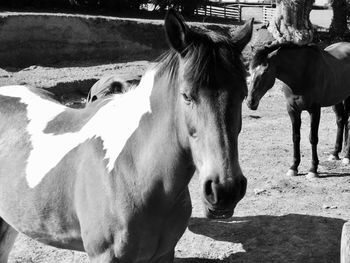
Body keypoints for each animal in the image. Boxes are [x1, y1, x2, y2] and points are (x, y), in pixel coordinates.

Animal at [0, 9, 253, 262]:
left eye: (243, 94)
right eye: (186, 95)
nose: (225, 190)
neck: (133, 171)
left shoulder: (164, 253)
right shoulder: (104, 255)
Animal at [246, 42, 350, 180]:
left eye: (265, 70)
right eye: (250, 70)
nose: (250, 102)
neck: (301, 74)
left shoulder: (314, 110)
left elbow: (313, 138)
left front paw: (313, 170)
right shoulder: (292, 110)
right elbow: (295, 137)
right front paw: (293, 167)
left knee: (348, 123)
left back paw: (347, 156)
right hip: (337, 99)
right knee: (341, 120)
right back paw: (335, 153)